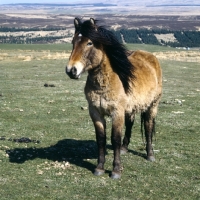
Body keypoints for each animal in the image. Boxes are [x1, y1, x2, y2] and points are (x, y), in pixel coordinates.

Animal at [65, 18, 162, 179]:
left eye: (89, 43)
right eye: (73, 41)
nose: (71, 70)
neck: (105, 82)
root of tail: (151, 57)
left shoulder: (117, 112)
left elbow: (115, 138)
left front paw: (116, 170)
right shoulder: (95, 112)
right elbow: (101, 139)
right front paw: (99, 167)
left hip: (152, 106)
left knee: (148, 127)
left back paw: (150, 155)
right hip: (131, 108)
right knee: (130, 124)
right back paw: (124, 148)